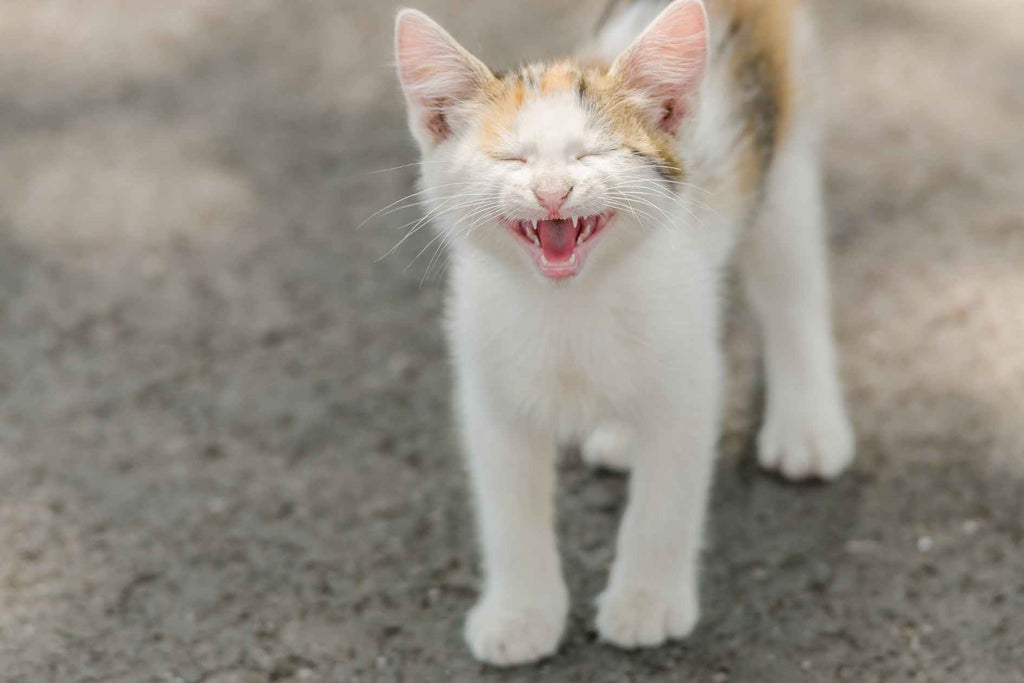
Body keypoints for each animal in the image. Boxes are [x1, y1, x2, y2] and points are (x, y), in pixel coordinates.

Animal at [391, 0, 856, 663]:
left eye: (592, 155)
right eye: (513, 159)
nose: (551, 191)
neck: (570, 309)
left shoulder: (690, 371)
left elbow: (665, 501)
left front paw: (646, 601)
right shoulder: (489, 385)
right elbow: (508, 509)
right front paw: (521, 612)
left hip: (782, 158)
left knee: (793, 289)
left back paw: (808, 425)